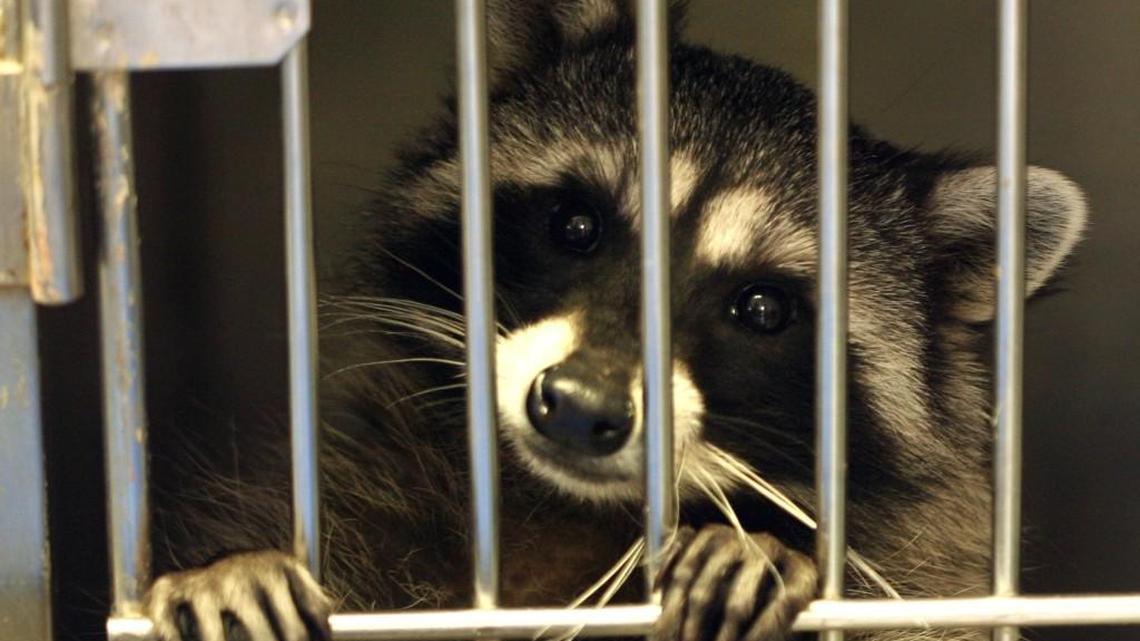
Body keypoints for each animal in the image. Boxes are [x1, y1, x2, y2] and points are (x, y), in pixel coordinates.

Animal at [143, 2, 1088, 641]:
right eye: (576, 225)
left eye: (762, 308)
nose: (579, 407)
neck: (570, 507)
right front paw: (233, 573)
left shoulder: (923, 570)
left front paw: (756, 553)